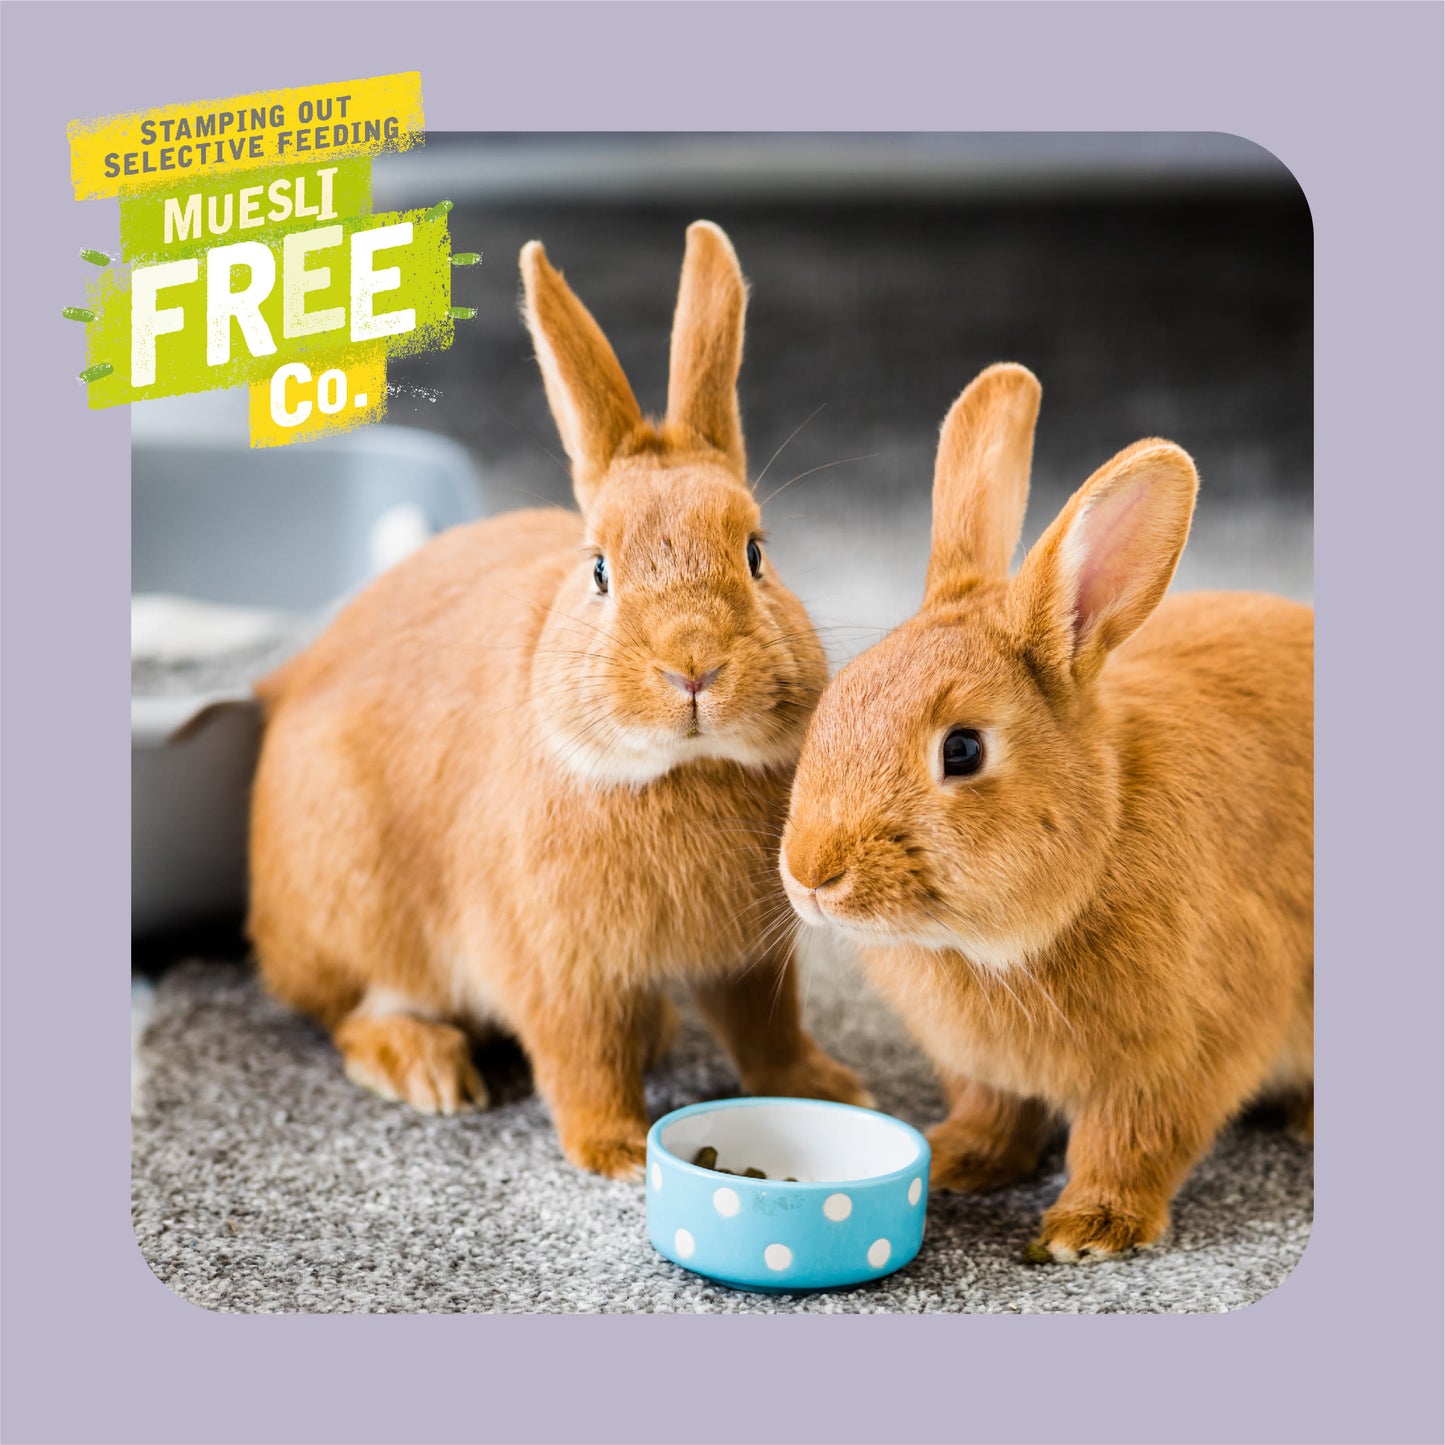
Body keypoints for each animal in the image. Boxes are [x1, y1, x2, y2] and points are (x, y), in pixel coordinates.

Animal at [248, 221, 871, 1179]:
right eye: (600, 570)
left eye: (757, 553)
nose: (693, 667)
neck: (681, 769)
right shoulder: (555, 966)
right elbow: (580, 1057)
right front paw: (615, 1152)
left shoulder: (747, 959)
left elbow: (768, 1031)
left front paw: (831, 1088)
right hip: (355, 903)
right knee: (354, 1011)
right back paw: (425, 1069)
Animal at [779, 362, 1312, 1260]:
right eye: (835, 701)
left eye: (961, 749)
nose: (812, 873)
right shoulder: (984, 1069)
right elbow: (993, 1110)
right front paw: (955, 1160)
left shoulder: (1181, 1055)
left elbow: (1131, 1139)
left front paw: (1086, 1230)